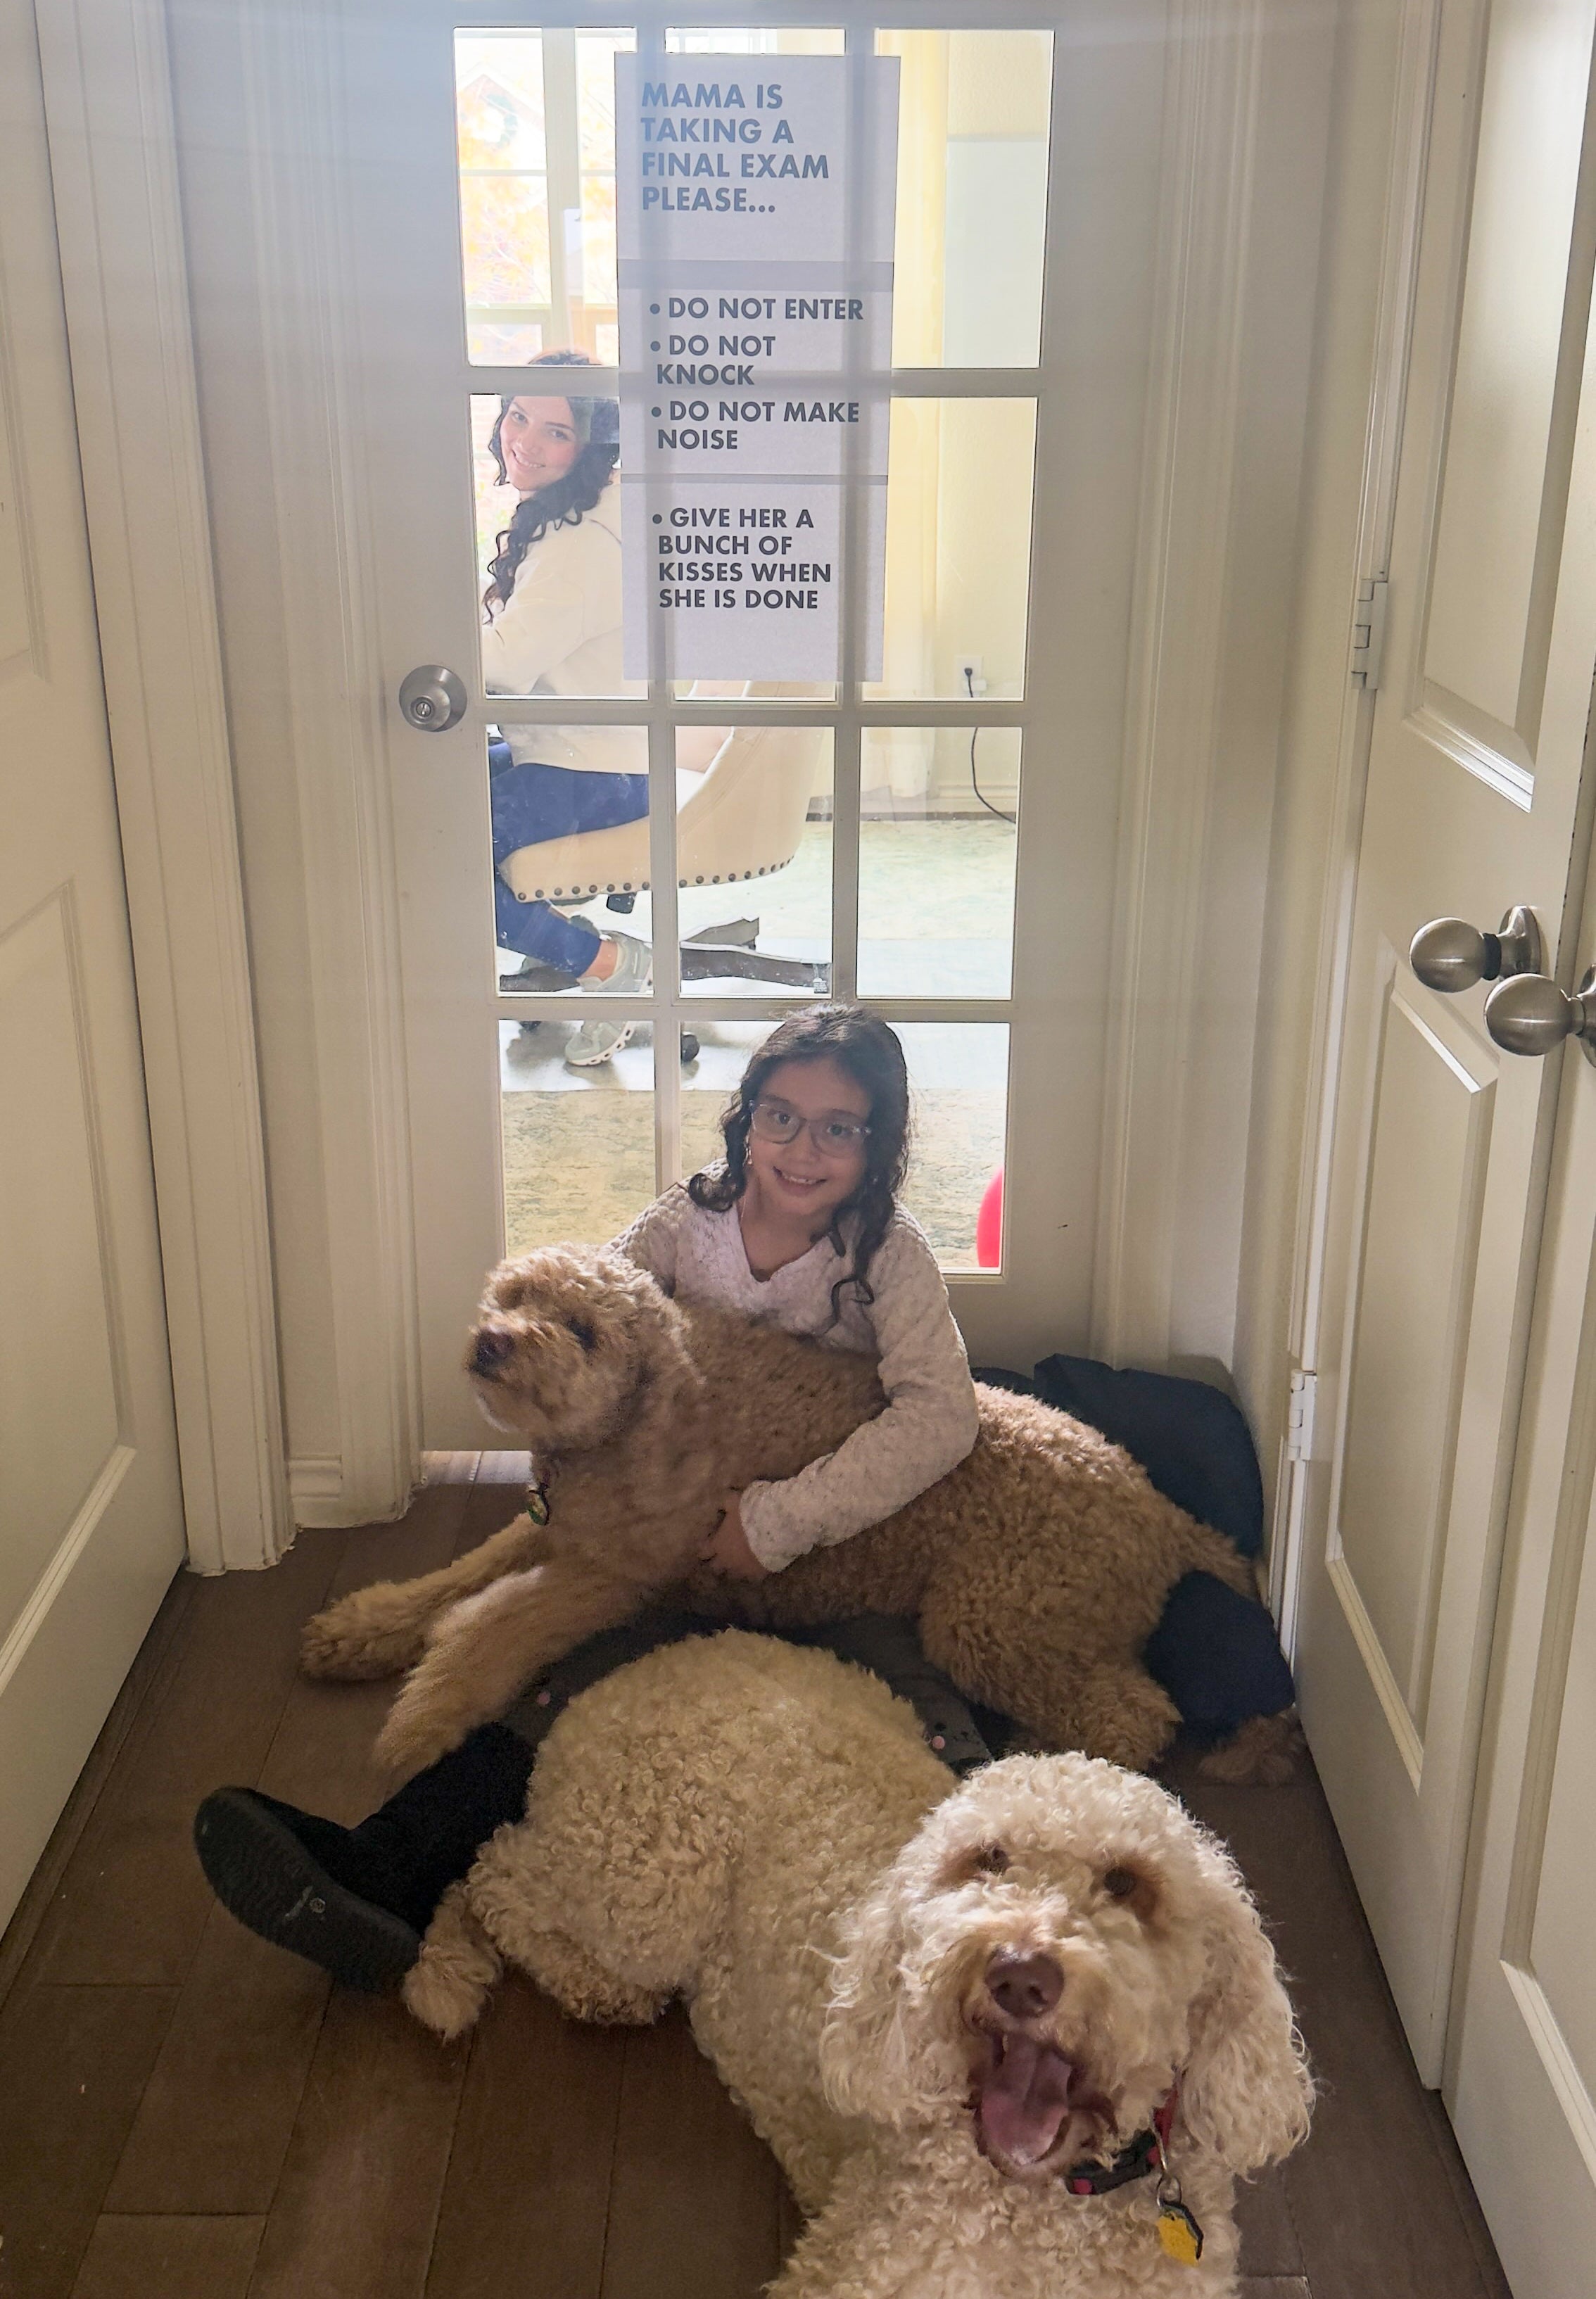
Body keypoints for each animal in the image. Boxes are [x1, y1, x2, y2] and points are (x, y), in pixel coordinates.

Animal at [298, 1250, 1260, 1766]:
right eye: (514, 1295)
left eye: (583, 1332)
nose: (494, 1342)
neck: (645, 1412)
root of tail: (1163, 1511)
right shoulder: (559, 1529)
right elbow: (456, 1578)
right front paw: (362, 1629)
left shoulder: (611, 1575)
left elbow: (489, 1627)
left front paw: (422, 1716)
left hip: (987, 1618)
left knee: (1141, 1716)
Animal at [402, 1637, 1315, 2299]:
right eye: (987, 1860)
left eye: (1128, 1884)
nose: (1020, 1973)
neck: (1052, 2205)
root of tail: (633, 1670)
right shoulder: (860, 2270)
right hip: (644, 1885)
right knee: (498, 1870)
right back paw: (555, 1979)